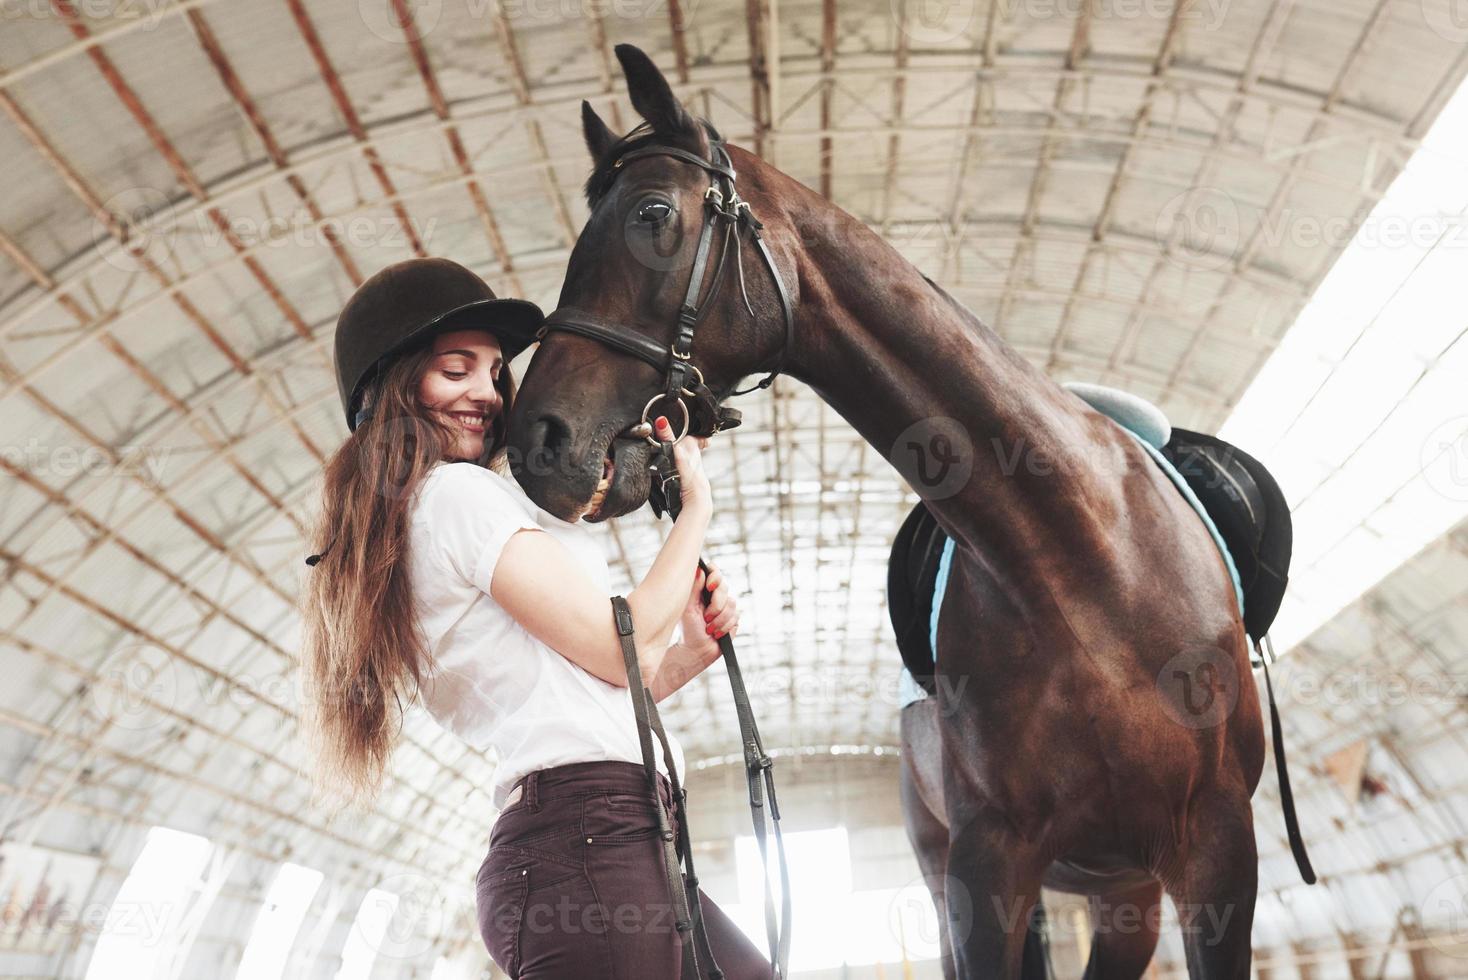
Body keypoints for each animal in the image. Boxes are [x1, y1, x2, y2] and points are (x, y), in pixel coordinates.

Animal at [504, 42, 1274, 974]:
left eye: (653, 213)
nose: (535, 440)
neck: (1085, 559)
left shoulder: (1219, 856)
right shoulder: (983, 870)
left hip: (1127, 894)